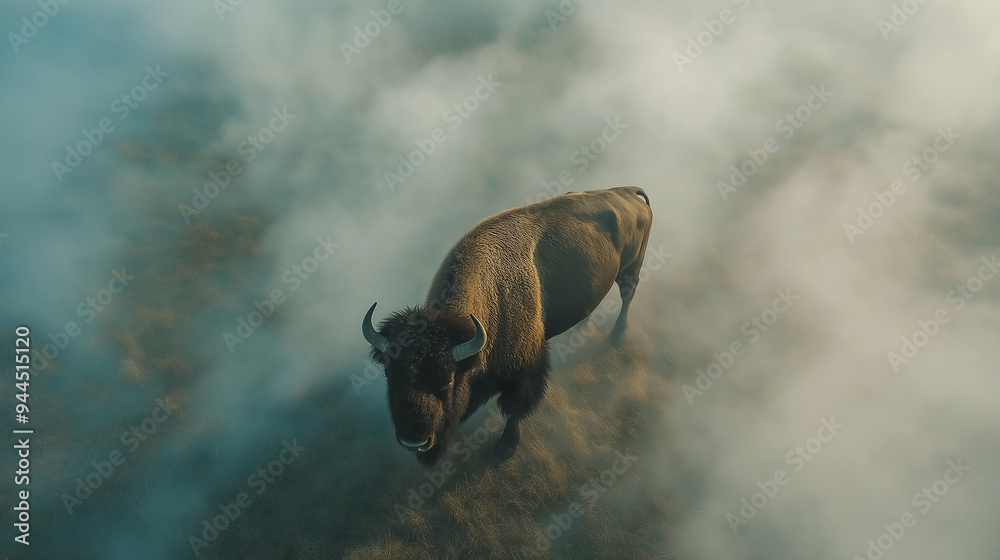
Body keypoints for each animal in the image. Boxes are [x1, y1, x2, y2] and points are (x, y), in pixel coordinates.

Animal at [363, 186, 653, 465]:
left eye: (448, 380)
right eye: (390, 375)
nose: (414, 441)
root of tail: (627, 191)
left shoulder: (526, 369)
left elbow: (514, 410)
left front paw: (506, 448)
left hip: (632, 267)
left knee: (627, 295)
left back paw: (617, 336)